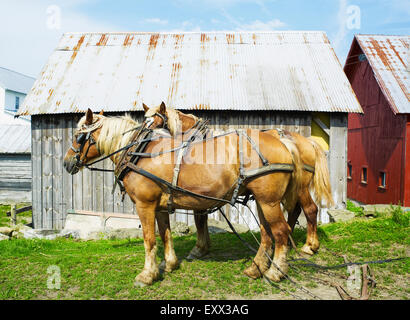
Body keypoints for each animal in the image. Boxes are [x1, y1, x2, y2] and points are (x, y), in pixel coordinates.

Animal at [64, 107, 306, 284]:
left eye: (79, 136)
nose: (66, 163)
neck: (139, 151)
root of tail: (282, 141)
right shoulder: (160, 206)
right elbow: (165, 235)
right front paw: (169, 264)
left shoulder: (144, 205)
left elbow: (149, 239)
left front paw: (147, 275)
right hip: (262, 201)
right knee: (266, 234)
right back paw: (255, 269)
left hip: (269, 201)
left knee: (281, 232)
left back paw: (275, 272)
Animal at [143, 103, 334, 280]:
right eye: (145, 119)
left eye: (154, 121)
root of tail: (305, 142)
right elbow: (201, 220)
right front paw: (203, 247)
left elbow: (199, 220)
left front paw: (199, 248)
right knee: (294, 212)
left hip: (299, 188)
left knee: (310, 210)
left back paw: (309, 246)